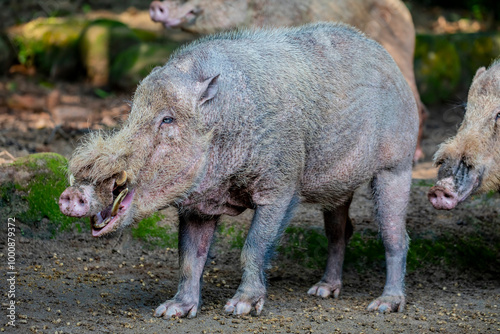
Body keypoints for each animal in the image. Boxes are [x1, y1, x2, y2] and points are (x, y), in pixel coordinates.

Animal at [58, 24, 418, 318]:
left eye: (167, 119)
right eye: (132, 114)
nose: (71, 194)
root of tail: (394, 66)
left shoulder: (281, 186)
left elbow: (254, 246)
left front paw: (240, 308)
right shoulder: (198, 208)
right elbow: (189, 258)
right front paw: (170, 311)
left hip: (397, 166)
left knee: (396, 237)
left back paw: (384, 305)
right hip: (339, 187)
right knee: (340, 231)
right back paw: (321, 291)